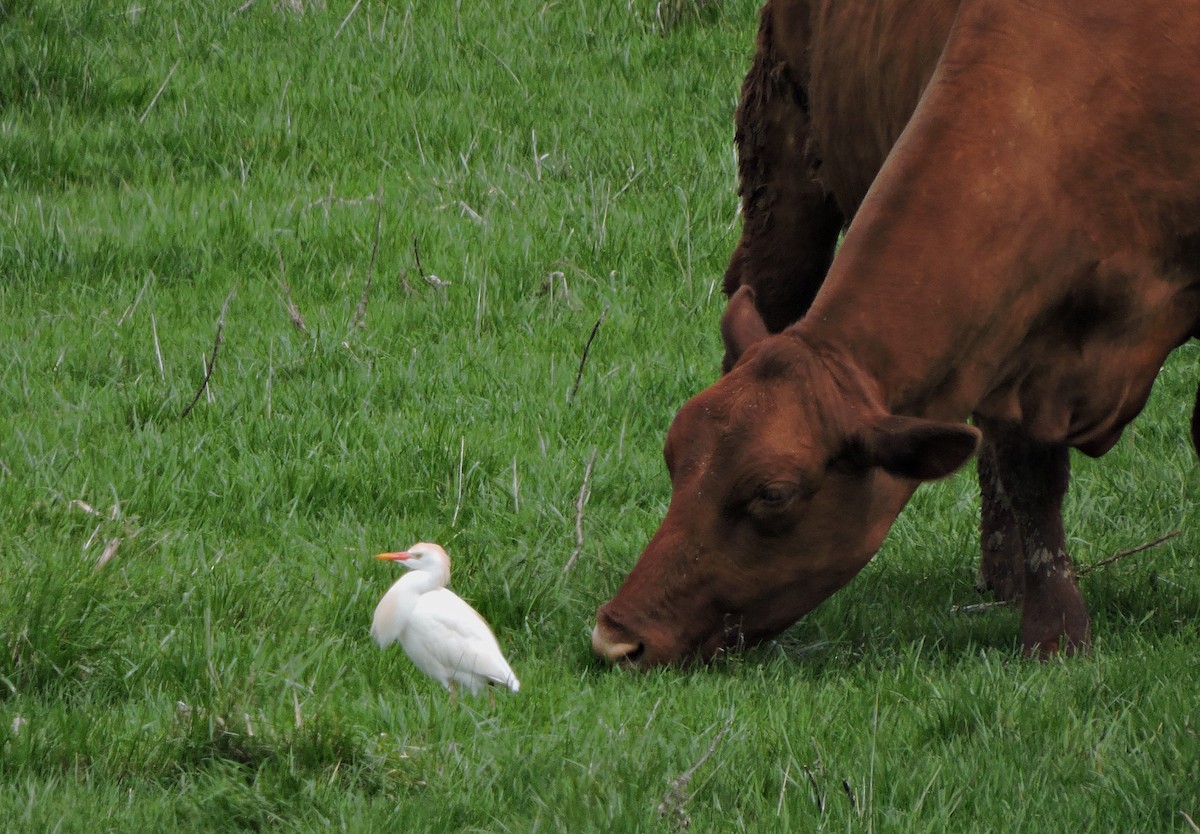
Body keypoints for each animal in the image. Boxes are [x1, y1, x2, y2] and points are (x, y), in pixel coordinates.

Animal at [592, 0, 1200, 667]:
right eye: (674, 456)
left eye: (773, 494)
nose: (615, 635)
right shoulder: (1010, 329)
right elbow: (1029, 472)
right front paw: (1056, 629)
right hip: (781, 178)